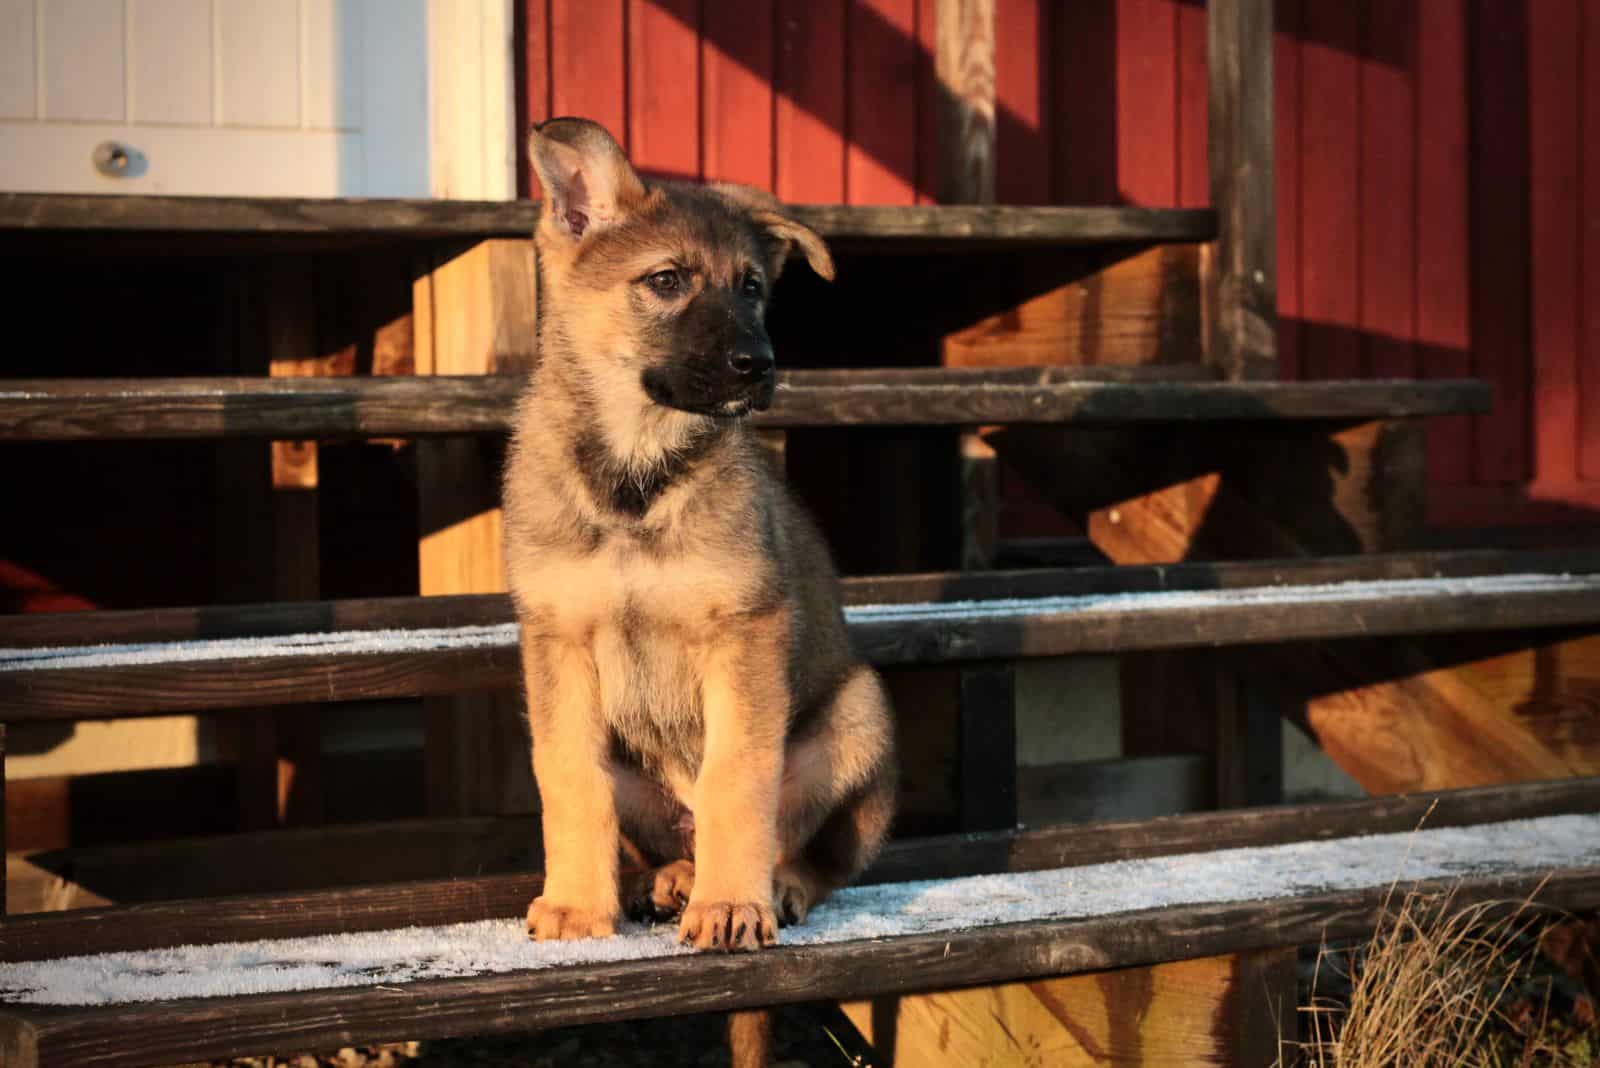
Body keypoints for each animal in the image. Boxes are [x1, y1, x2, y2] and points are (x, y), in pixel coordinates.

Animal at [505, 119, 896, 959]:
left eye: (751, 287)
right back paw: (671, 877)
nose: (761, 366)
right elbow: (569, 777)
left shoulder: (745, 631)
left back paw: (769, 887)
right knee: (668, 831)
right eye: (665, 280)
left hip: (860, 713)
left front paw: (730, 907)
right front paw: (577, 905)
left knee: (815, 850)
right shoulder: (557, 641)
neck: (636, 478)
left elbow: (737, 778)